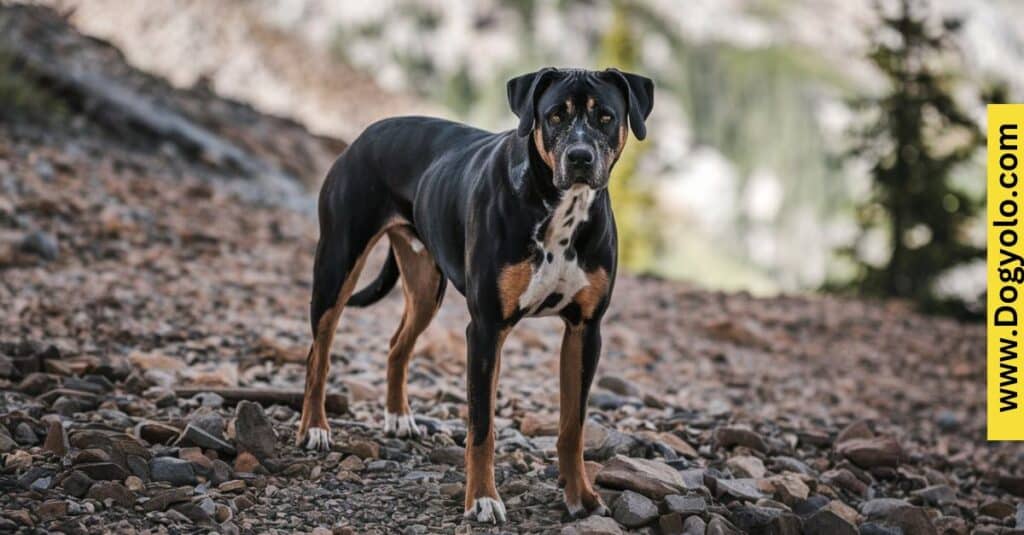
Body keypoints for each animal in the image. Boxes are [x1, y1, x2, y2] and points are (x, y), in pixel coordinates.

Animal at [296, 66, 655, 520]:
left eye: (605, 117)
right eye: (555, 115)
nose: (579, 157)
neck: (560, 208)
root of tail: (366, 133)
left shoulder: (585, 330)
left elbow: (574, 424)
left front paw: (581, 497)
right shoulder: (485, 329)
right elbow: (482, 427)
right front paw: (483, 499)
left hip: (426, 287)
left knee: (397, 346)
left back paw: (397, 417)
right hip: (337, 264)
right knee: (318, 354)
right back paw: (314, 428)